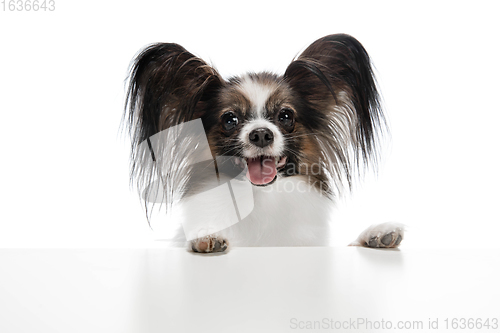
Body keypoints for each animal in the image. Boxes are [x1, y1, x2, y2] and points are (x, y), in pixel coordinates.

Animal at [124, 33, 402, 252]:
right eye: (230, 119)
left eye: (286, 116)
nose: (260, 134)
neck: (260, 198)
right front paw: (206, 238)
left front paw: (375, 235)